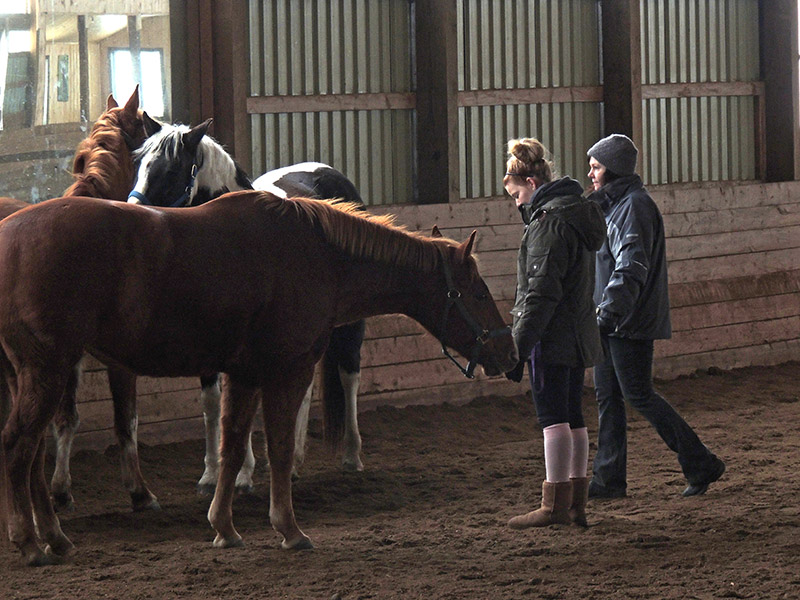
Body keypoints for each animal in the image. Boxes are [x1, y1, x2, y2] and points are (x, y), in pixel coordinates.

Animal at [0, 89, 156, 514]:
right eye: (147, 128)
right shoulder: (116, 361)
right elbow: (126, 422)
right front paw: (139, 490)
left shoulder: (71, 360)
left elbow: (66, 419)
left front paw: (60, 490)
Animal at [0, 191, 518, 566]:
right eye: (477, 292)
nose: (509, 353)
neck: (318, 258)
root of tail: (9, 233)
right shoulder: (287, 371)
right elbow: (281, 450)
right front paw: (289, 530)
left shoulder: (245, 375)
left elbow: (231, 450)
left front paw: (224, 528)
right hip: (47, 370)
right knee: (19, 447)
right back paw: (29, 542)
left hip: (30, 375)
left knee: (33, 454)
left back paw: (55, 539)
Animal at [128, 115, 371, 492]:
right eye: (139, 164)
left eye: (172, 170)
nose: (135, 218)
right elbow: (213, 403)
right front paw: (213, 474)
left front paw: (242, 473)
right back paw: (294, 461)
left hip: (347, 326)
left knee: (349, 375)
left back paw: (351, 456)